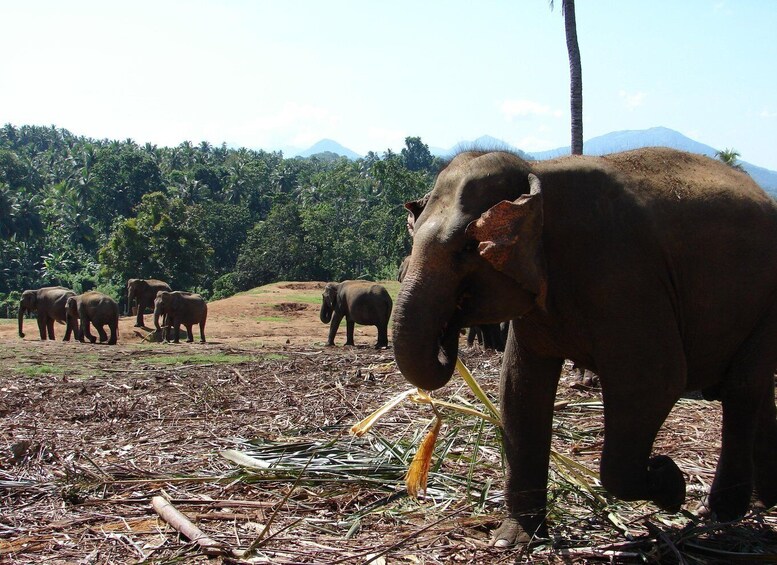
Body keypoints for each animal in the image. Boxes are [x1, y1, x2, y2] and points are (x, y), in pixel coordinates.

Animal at [392, 148, 776, 544]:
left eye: (468, 248)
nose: (449, 330)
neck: (537, 173)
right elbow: (519, 388)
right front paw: (513, 538)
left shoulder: (623, 274)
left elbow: (655, 383)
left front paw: (670, 482)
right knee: (757, 390)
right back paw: (761, 503)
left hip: (767, 301)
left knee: (741, 390)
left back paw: (719, 513)